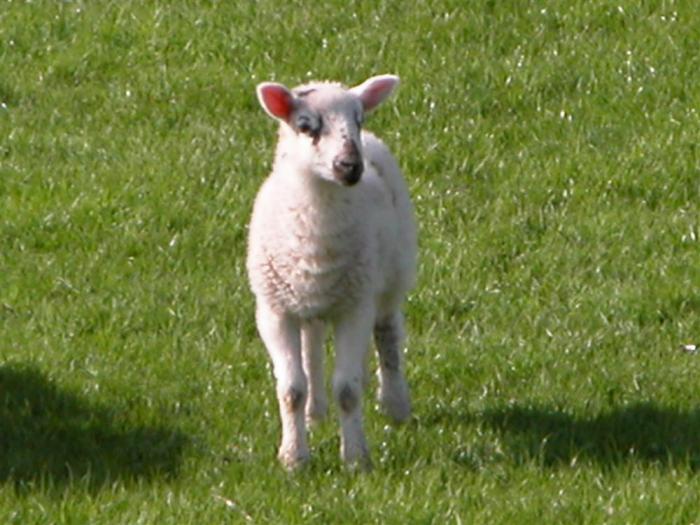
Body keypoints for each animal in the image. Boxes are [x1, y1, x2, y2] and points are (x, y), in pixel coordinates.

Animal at [247, 74, 416, 470]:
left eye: (359, 120)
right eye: (306, 125)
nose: (350, 166)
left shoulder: (355, 308)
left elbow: (348, 389)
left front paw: (355, 459)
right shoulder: (274, 311)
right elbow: (290, 389)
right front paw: (294, 457)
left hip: (392, 273)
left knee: (387, 333)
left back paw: (395, 404)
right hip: (310, 300)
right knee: (311, 345)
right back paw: (314, 412)